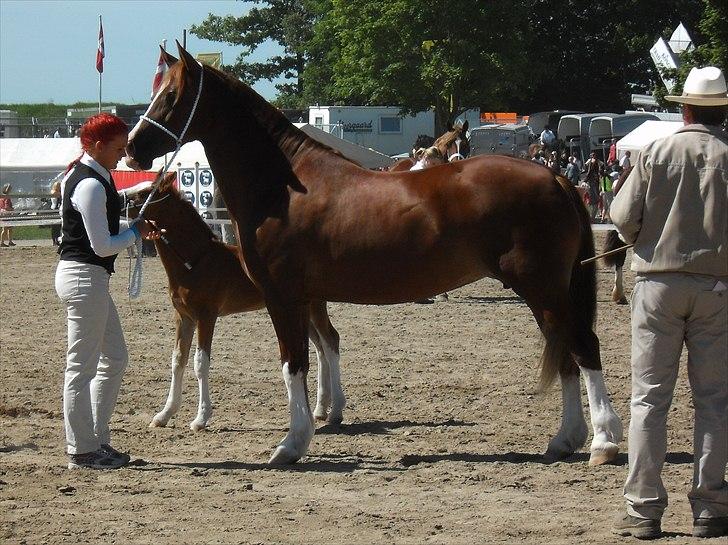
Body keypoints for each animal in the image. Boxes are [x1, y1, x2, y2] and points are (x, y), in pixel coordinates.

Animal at [120, 173, 346, 430]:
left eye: (145, 192)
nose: (117, 196)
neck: (196, 262)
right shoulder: (183, 317)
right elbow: (178, 360)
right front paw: (164, 415)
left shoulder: (206, 316)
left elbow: (200, 362)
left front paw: (200, 419)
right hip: (300, 311)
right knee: (319, 348)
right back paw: (320, 410)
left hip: (314, 307)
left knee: (330, 341)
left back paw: (336, 411)